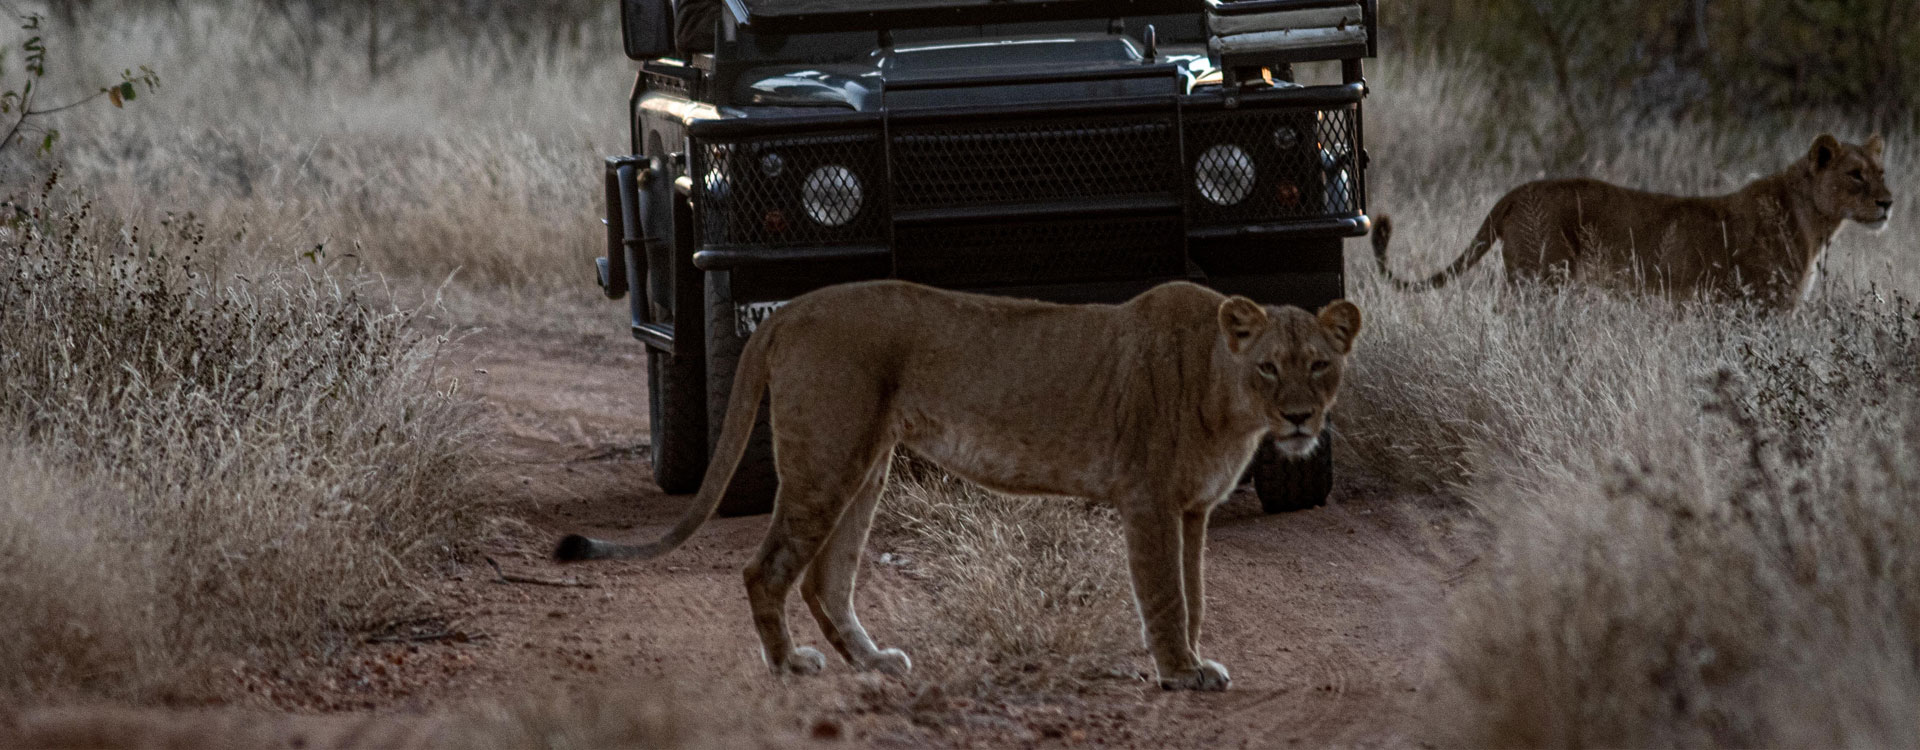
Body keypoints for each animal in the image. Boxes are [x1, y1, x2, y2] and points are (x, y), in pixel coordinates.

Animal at [1374, 135, 1896, 308]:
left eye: (1882, 172)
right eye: (1855, 175)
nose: (1889, 203)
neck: (1817, 223)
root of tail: (1518, 191)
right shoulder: (1758, 307)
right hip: (1540, 280)